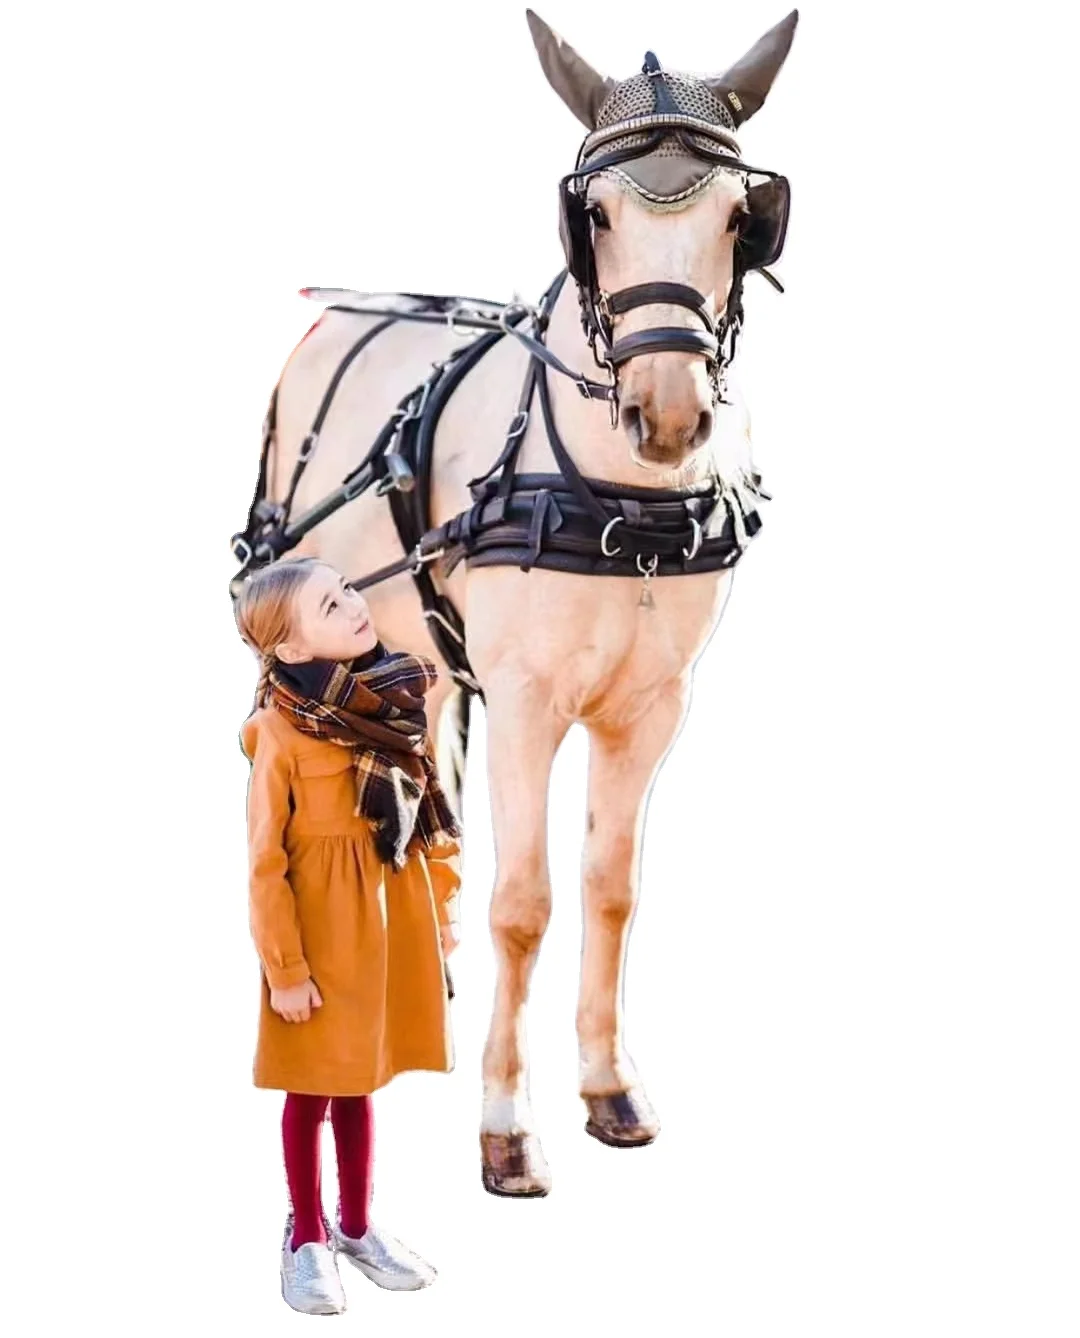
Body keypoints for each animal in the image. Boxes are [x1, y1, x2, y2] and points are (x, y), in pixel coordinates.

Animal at [235, 8, 798, 1196]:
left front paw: (609, 1085)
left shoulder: (653, 711)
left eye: (742, 218)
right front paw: (505, 1123)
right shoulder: (530, 705)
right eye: (594, 216)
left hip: (423, 648)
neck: (626, 507)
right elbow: (526, 902)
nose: (667, 415)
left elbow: (610, 887)